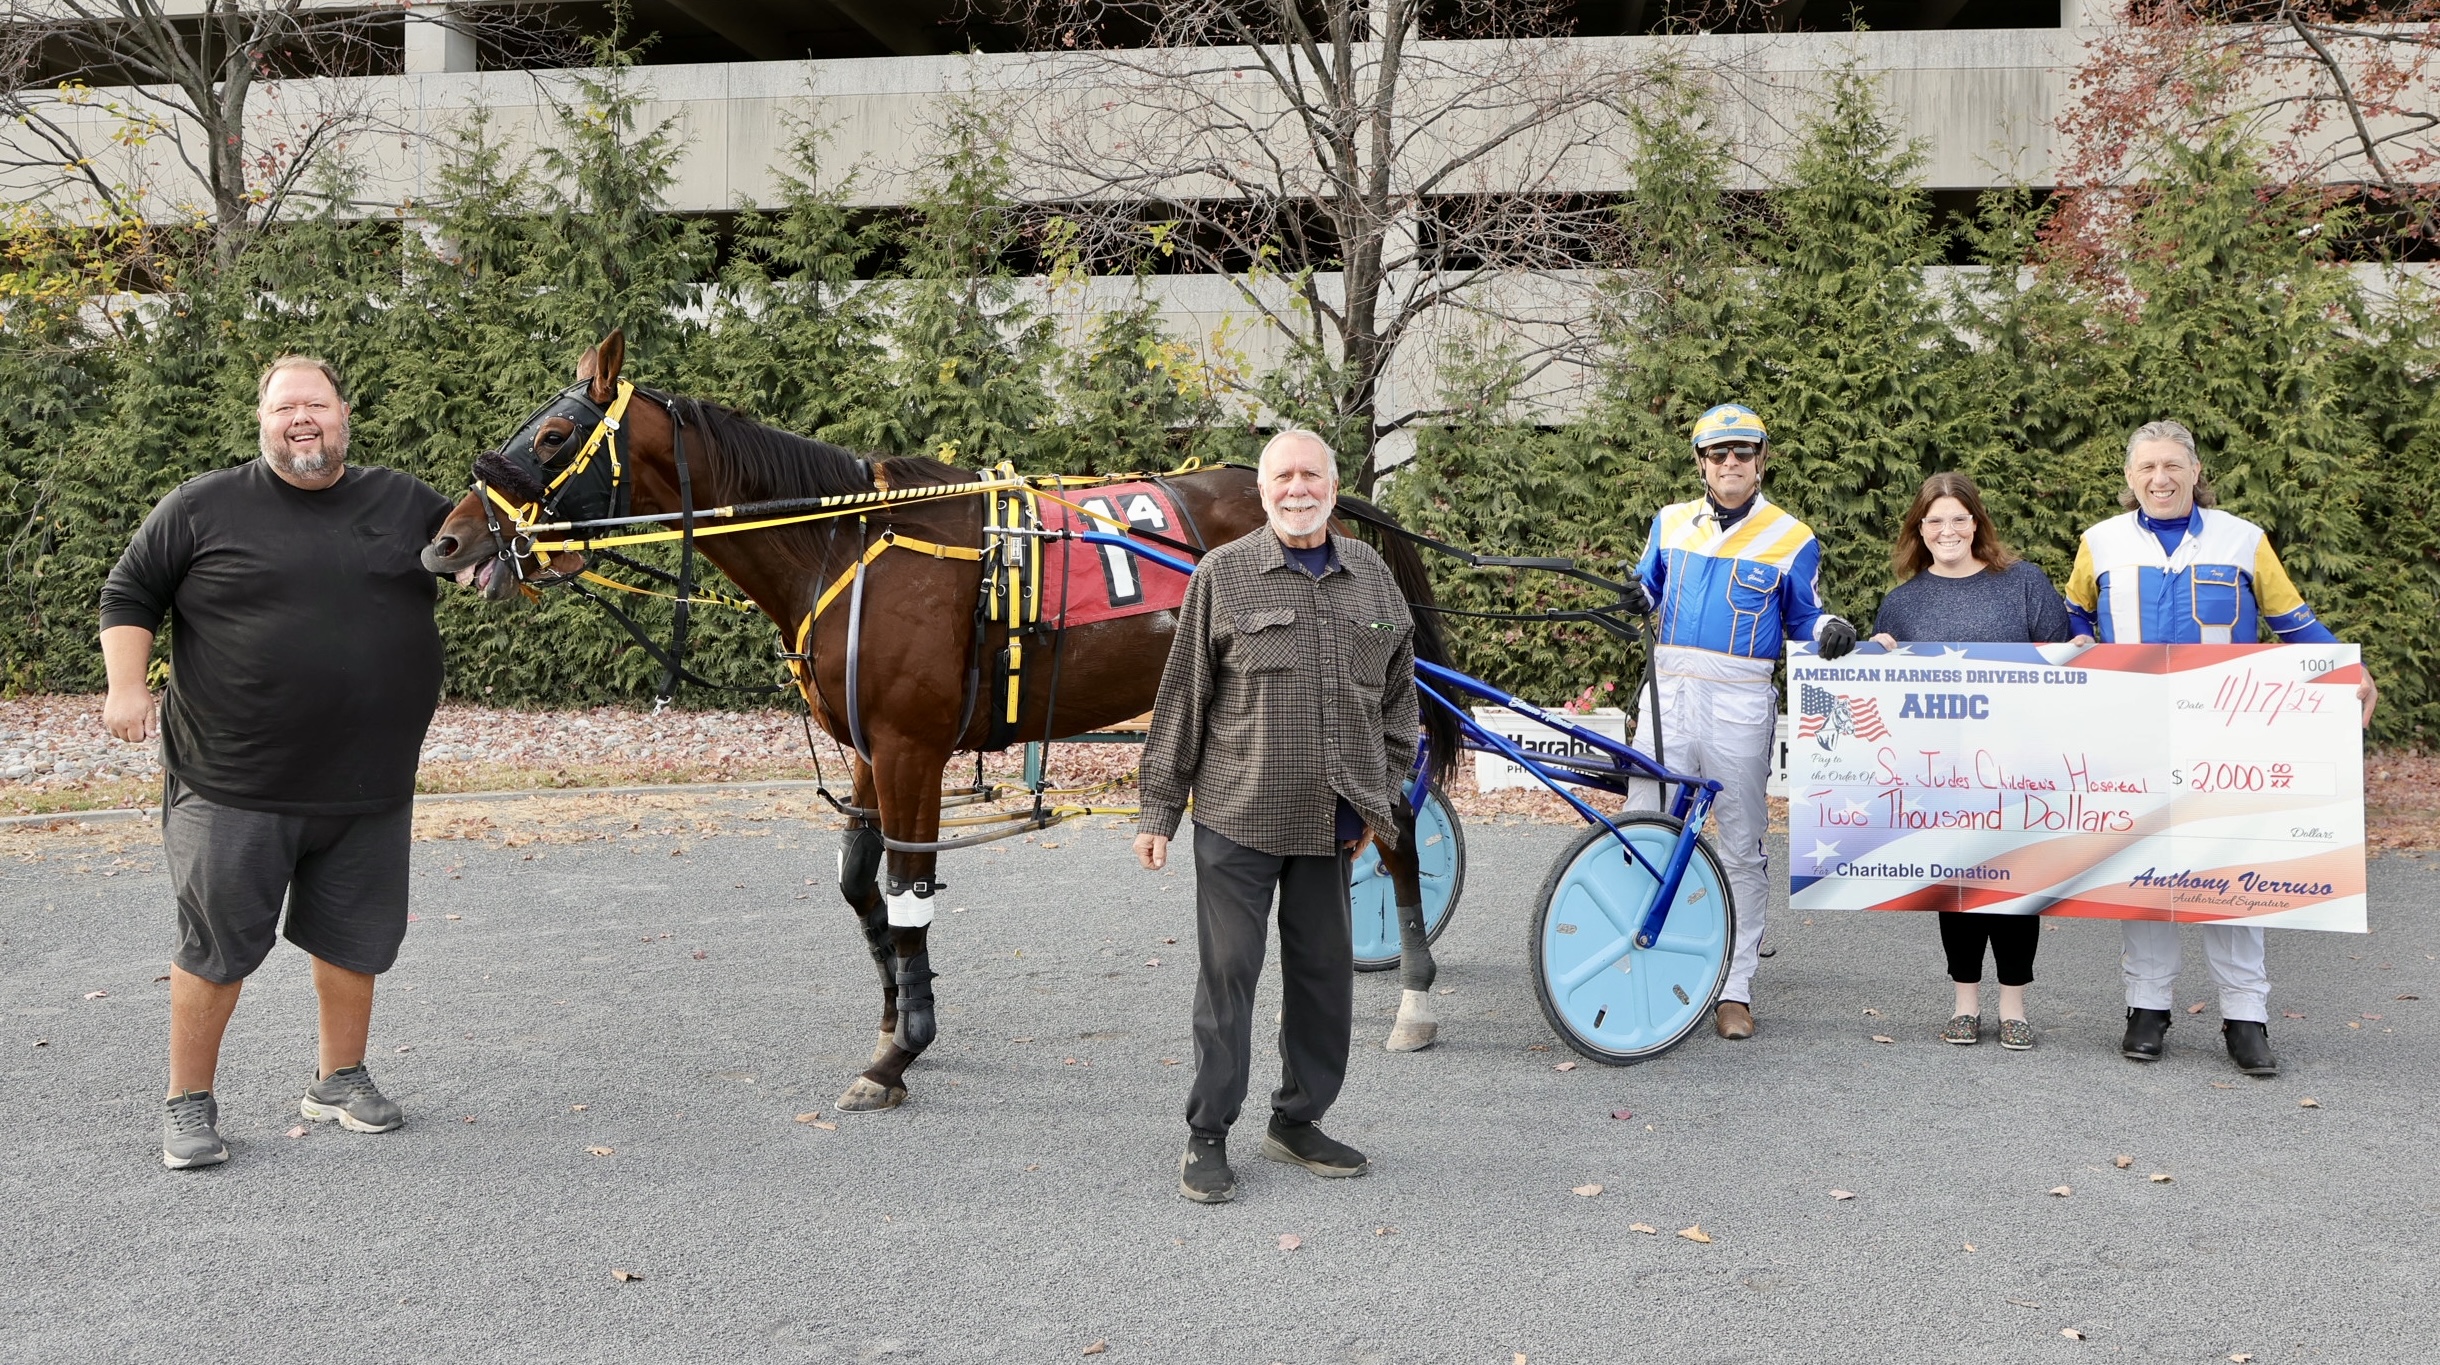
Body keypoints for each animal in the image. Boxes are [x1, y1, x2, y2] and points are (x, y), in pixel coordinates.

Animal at [419, 332, 1454, 1113]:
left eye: (555, 433)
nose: (448, 540)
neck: (846, 543)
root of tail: (1335, 513)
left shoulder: (913, 748)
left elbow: (908, 887)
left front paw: (900, 1052)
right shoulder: (871, 752)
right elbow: (860, 887)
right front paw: (894, 1012)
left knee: (1396, 835)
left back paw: (1413, 995)